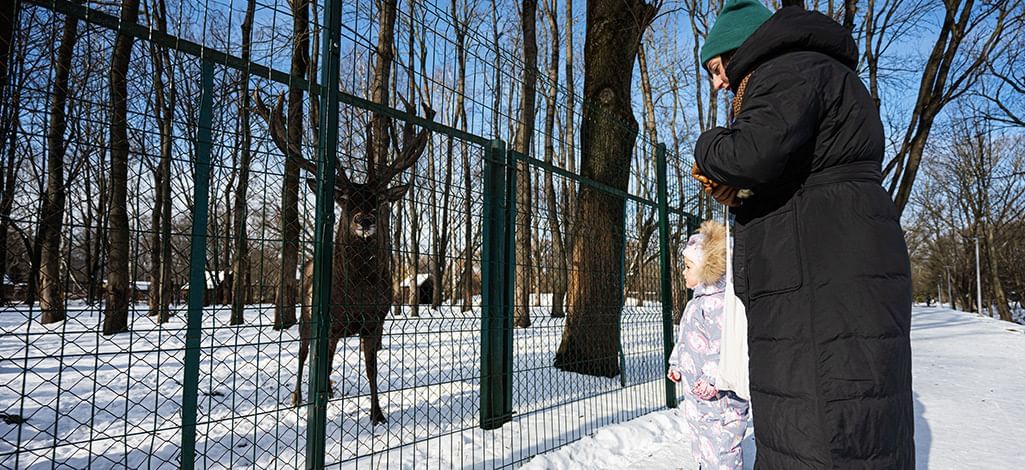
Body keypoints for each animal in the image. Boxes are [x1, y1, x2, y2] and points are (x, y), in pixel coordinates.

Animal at [256, 90, 436, 425]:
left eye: (378, 200)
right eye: (346, 201)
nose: (364, 220)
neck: (358, 292)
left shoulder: (375, 322)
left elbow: (372, 370)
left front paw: (378, 415)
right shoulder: (328, 321)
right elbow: (319, 362)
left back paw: (328, 389)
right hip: (307, 316)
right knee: (305, 355)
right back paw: (298, 397)